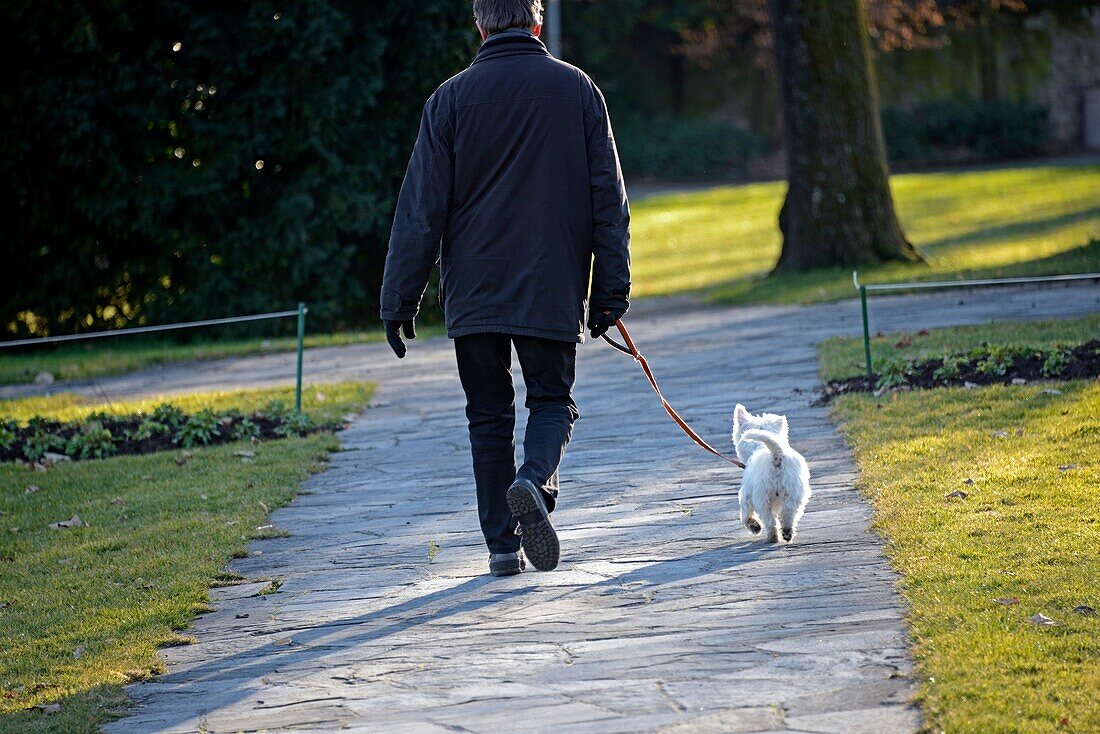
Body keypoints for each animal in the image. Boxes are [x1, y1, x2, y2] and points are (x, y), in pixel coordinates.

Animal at [734, 404, 814, 543]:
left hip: (763, 495)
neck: (758, 446)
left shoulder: (747, 492)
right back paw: (787, 533)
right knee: (788, 514)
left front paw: (753, 525)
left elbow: (744, 509)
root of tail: (776, 455)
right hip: (794, 492)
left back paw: (772, 536)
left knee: (770, 520)